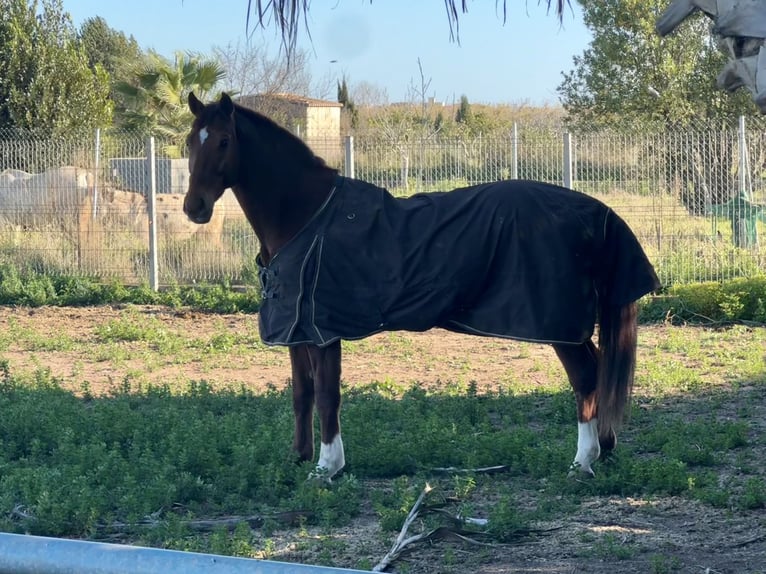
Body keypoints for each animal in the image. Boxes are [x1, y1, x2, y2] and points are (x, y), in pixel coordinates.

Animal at [183, 93, 664, 482]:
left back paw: (582, 462)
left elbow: (327, 396)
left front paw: (328, 467)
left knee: (585, 378)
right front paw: (298, 459)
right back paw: (604, 449)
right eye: (190, 142)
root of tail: (595, 210)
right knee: (599, 372)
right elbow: (302, 394)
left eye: (223, 141)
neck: (306, 215)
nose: (194, 208)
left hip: (559, 326)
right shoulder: (297, 330)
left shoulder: (324, 332)